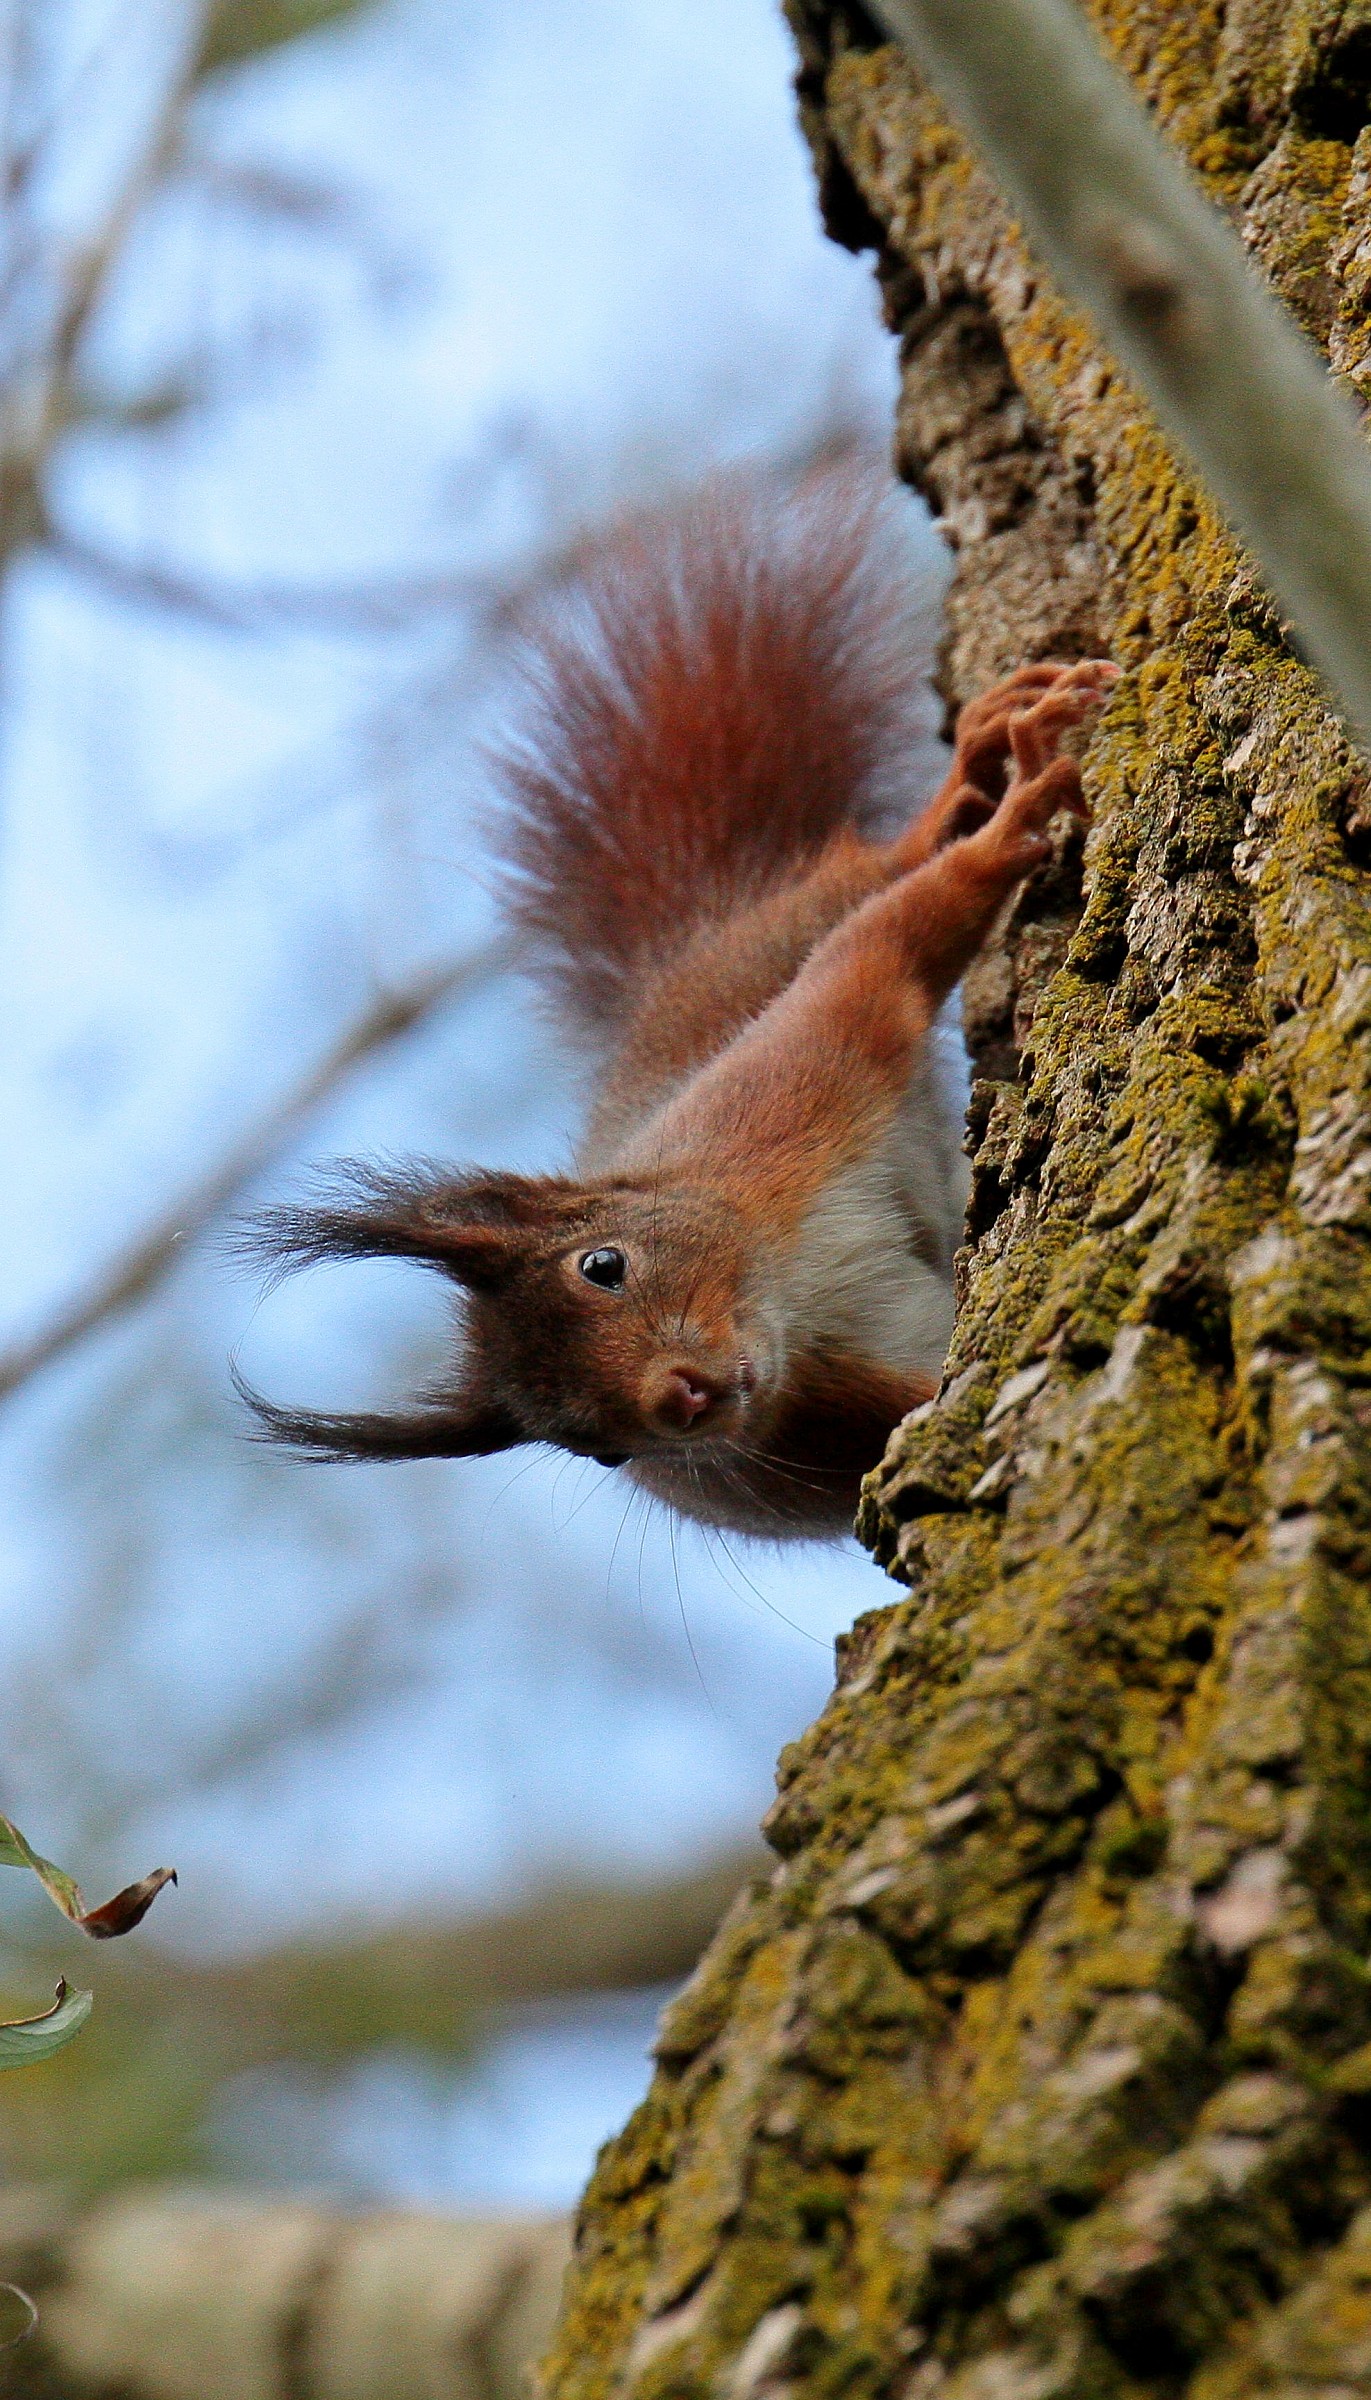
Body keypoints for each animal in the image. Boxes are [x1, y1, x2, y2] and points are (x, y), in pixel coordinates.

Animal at [238, 464, 1116, 1538]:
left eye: (602, 1265)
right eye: (591, 1445)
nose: (679, 1400)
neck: (792, 1293)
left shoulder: (793, 1087)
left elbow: (889, 942)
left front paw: (1013, 820)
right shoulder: (825, 1420)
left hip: (762, 950)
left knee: (862, 878)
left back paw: (976, 770)